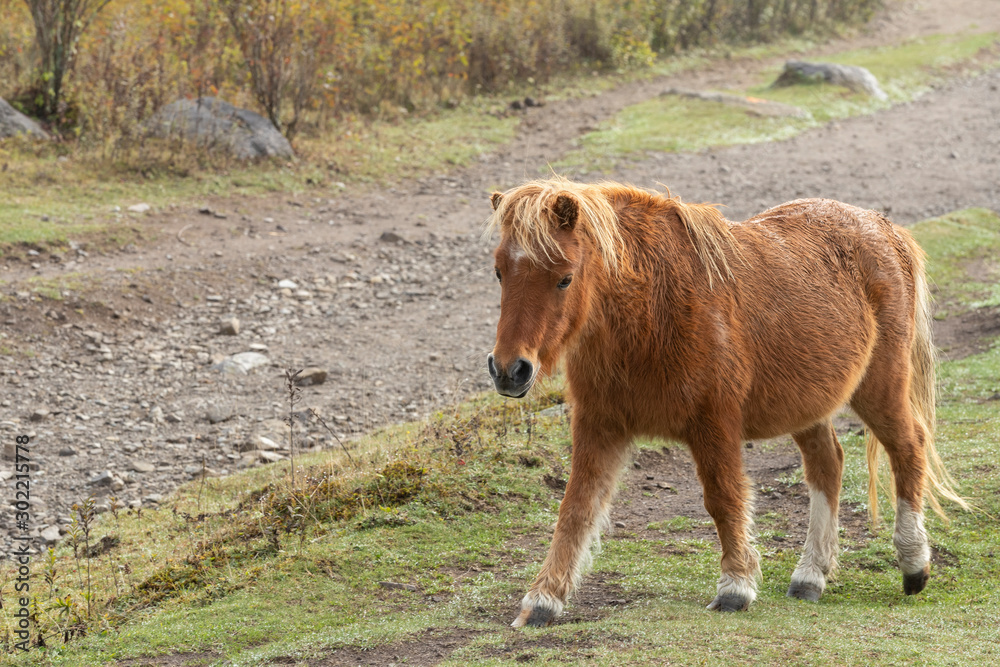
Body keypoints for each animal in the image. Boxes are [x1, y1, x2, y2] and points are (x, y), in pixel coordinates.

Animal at [484, 176, 968, 627]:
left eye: (565, 277)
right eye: (500, 272)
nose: (509, 370)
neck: (652, 309)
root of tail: (883, 228)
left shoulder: (713, 423)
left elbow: (723, 498)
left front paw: (735, 587)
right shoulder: (600, 427)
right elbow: (576, 509)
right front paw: (542, 601)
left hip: (879, 387)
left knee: (907, 446)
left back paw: (913, 564)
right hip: (807, 404)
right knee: (827, 464)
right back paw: (810, 576)